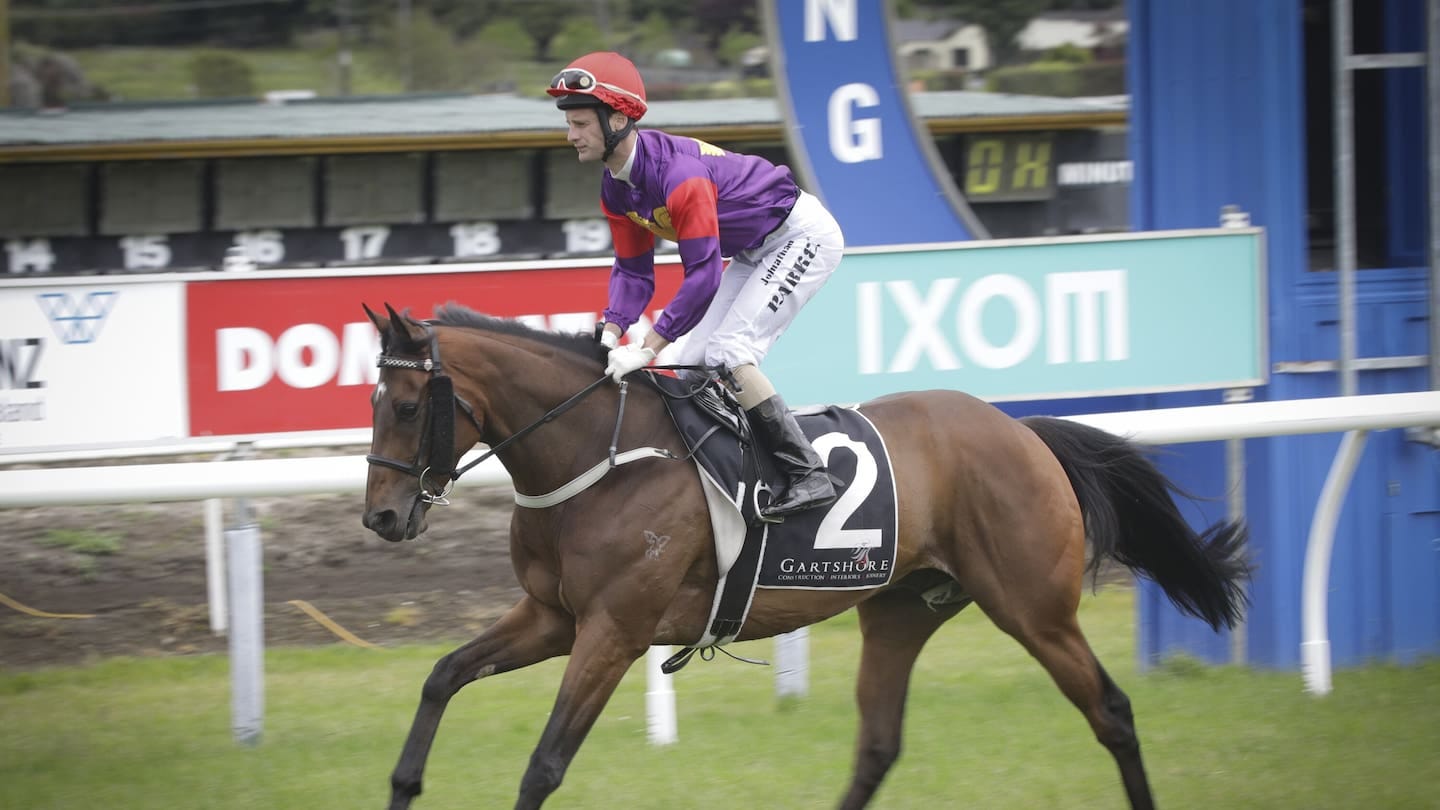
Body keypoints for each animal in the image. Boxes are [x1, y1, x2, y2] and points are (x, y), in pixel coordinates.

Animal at [360, 302, 1249, 807]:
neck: (600, 454)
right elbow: (442, 675)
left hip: (1032, 605)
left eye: (405, 406)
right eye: (372, 402)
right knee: (879, 744)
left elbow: (544, 765)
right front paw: (403, 782)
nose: (381, 517)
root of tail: (1021, 430)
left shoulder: (614, 628)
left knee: (1112, 713)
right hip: (901, 610)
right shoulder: (552, 616)